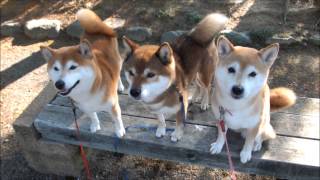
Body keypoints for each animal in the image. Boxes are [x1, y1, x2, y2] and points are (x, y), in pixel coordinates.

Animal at [39, 9, 125, 137]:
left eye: (73, 67)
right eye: (56, 68)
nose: (59, 84)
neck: (88, 92)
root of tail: (99, 29)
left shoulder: (113, 106)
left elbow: (117, 119)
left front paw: (119, 131)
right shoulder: (85, 107)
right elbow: (92, 116)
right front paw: (95, 125)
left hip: (117, 60)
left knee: (118, 73)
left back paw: (119, 86)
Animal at [122, 13, 228, 141]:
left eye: (151, 74)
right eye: (131, 73)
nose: (134, 92)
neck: (162, 93)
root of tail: (197, 37)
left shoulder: (180, 108)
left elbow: (179, 123)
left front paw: (177, 135)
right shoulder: (156, 109)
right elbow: (161, 120)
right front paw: (161, 130)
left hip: (203, 75)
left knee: (207, 88)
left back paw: (204, 103)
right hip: (193, 75)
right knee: (198, 87)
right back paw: (194, 98)